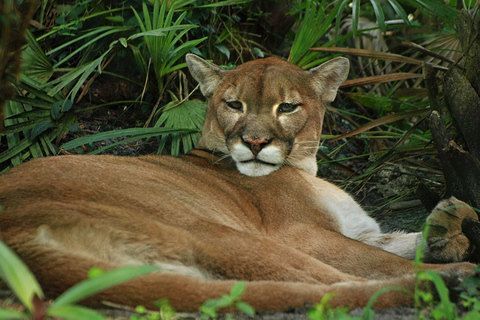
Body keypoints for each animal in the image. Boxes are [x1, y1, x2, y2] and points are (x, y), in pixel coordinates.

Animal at [0, 55, 476, 312]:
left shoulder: (360, 231)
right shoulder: (302, 233)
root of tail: (15, 241)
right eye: (233, 104)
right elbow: (386, 260)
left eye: (288, 107)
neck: (306, 169)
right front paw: (451, 248)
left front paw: (446, 233)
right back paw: (454, 280)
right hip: (220, 234)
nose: (255, 142)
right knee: (327, 287)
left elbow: (399, 243)